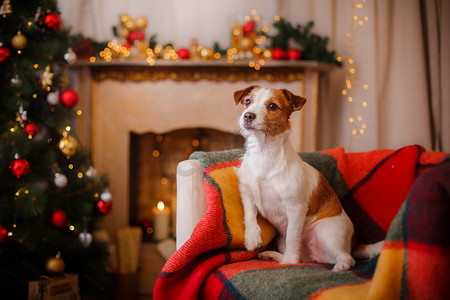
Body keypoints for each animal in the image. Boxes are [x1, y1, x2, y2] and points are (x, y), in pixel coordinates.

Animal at [234, 85, 382, 272]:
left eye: (273, 106)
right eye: (247, 101)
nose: (248, 115)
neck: (264, 153)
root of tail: (354, 243)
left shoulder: (296, 208)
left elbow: (292, 237)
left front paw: (289, 263)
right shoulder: (246, 191)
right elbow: (250, 214)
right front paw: (252, 237)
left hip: (326, 232)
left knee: (347, 258)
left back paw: (338, 266)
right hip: (283, 241)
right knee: (302, 257)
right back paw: (274, 256)